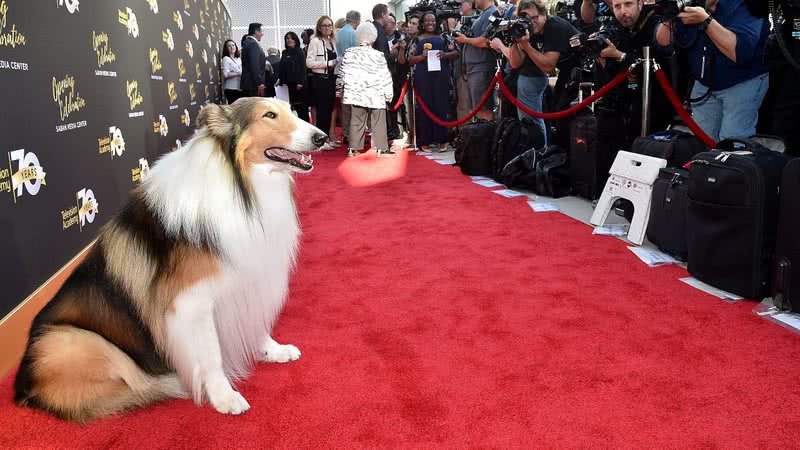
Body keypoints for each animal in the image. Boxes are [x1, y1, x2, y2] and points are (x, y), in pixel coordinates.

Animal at [13, 97, 324, 422]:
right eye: (269, 115)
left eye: (292, 111)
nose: (321, 137)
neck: (241, 184)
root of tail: (22, 387)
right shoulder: (193, 303)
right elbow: (211, 355)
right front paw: (224, 396)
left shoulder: (248, 278)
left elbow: (256, 324)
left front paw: (272, 350)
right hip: (74, 341)